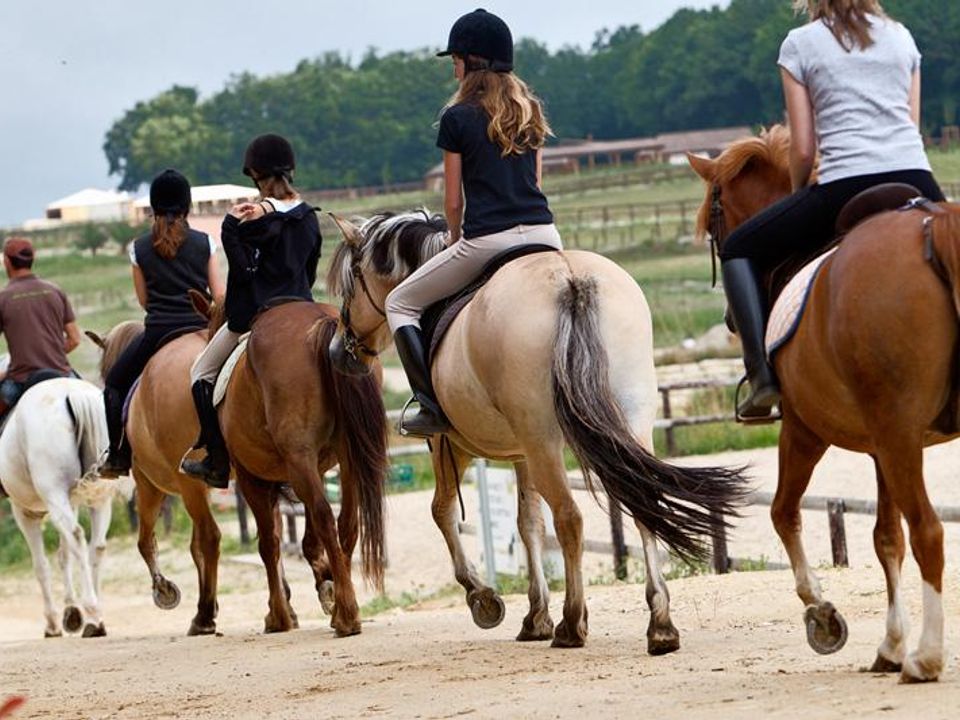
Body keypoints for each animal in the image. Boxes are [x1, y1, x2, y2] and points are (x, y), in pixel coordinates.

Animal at [0, 376, 116, 636]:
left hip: (54, 497)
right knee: (96, 547)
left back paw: (92, 611)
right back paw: (95, 615)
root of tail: (73, 394)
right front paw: (71, 612)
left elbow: (41, 566)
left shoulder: (25, 513)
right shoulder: (69, 503)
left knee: (77, 538)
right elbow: (64, 556)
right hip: (99, 500)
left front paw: (53, 622)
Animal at [326, 210, 748, 652]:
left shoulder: (449, 444)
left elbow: (443, 512)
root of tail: (569, 279)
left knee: (569, 517)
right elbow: (528, 524)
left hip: (540, 438)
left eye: (350, 286)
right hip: (623, 421)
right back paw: (660, 625)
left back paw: (572, 623)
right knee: (641, 501)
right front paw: (535, 616)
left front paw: (484, 598)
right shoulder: (521, 453)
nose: (338, 352)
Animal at [688, 126, 960, 684]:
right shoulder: (884, 447)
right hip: (899, 439)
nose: (728, 321)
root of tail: (932, 228)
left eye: (714, 224)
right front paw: (889, 644)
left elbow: (782, 513)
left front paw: (822, 614)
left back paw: (926, 658)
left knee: (929, 531)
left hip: (891, 434)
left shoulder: (803, 432)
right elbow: (885, 537)